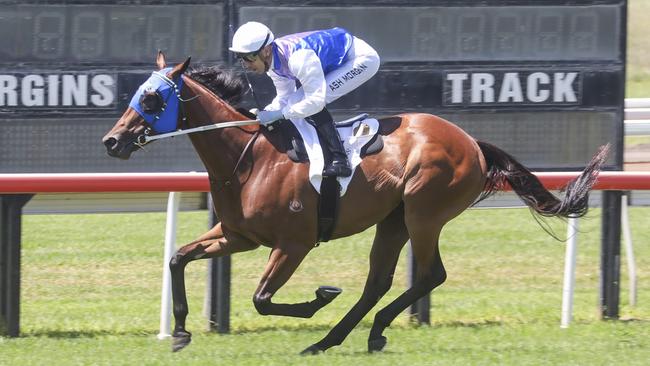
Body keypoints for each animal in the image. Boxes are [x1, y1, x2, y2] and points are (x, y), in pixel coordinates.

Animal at [101, 53, 608, 354]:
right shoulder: (238, 235)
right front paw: (181, 331)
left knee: (430, 274)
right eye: (135, 93)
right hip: (394, 220)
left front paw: (317, 300)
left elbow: (262, 299)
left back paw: (366, 330)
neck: (249, 156)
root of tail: (472, 143)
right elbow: (177, 258)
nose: (112, 142)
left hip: (424, 212)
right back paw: (333, 339)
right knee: (378, 281)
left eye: (152, 97)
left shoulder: (293, 244)